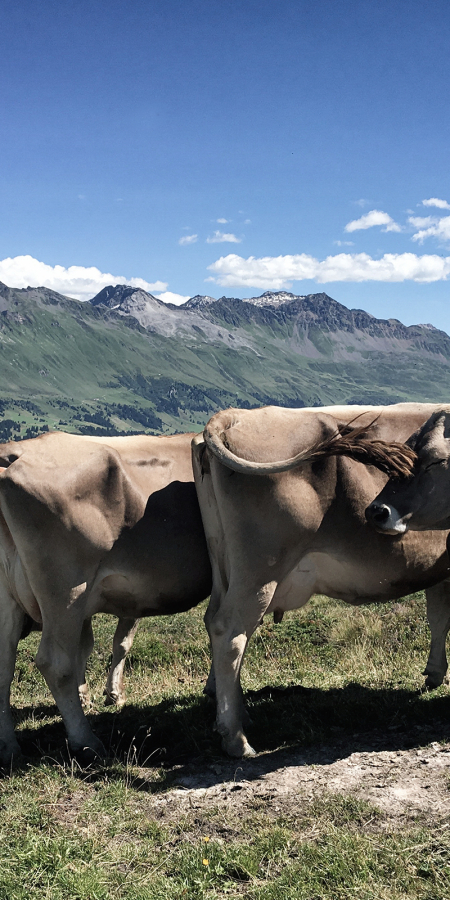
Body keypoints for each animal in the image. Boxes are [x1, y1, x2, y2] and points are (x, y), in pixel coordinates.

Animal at [0, 430, 211, 768]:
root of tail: (15, 454)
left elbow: (111, 643)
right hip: (66, 590)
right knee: (55, 662)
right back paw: (86, 741)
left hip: (9, 597)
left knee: (4, 667)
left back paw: (8, 746)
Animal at [192, 404, 450, 756]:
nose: (379, 512)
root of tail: (235, 415)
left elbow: (438, 618)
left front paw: (435, 674)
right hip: (259, 572)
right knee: (229, 630)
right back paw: (235, 737)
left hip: (224, 566)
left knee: (214, 622)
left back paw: (239, 711)